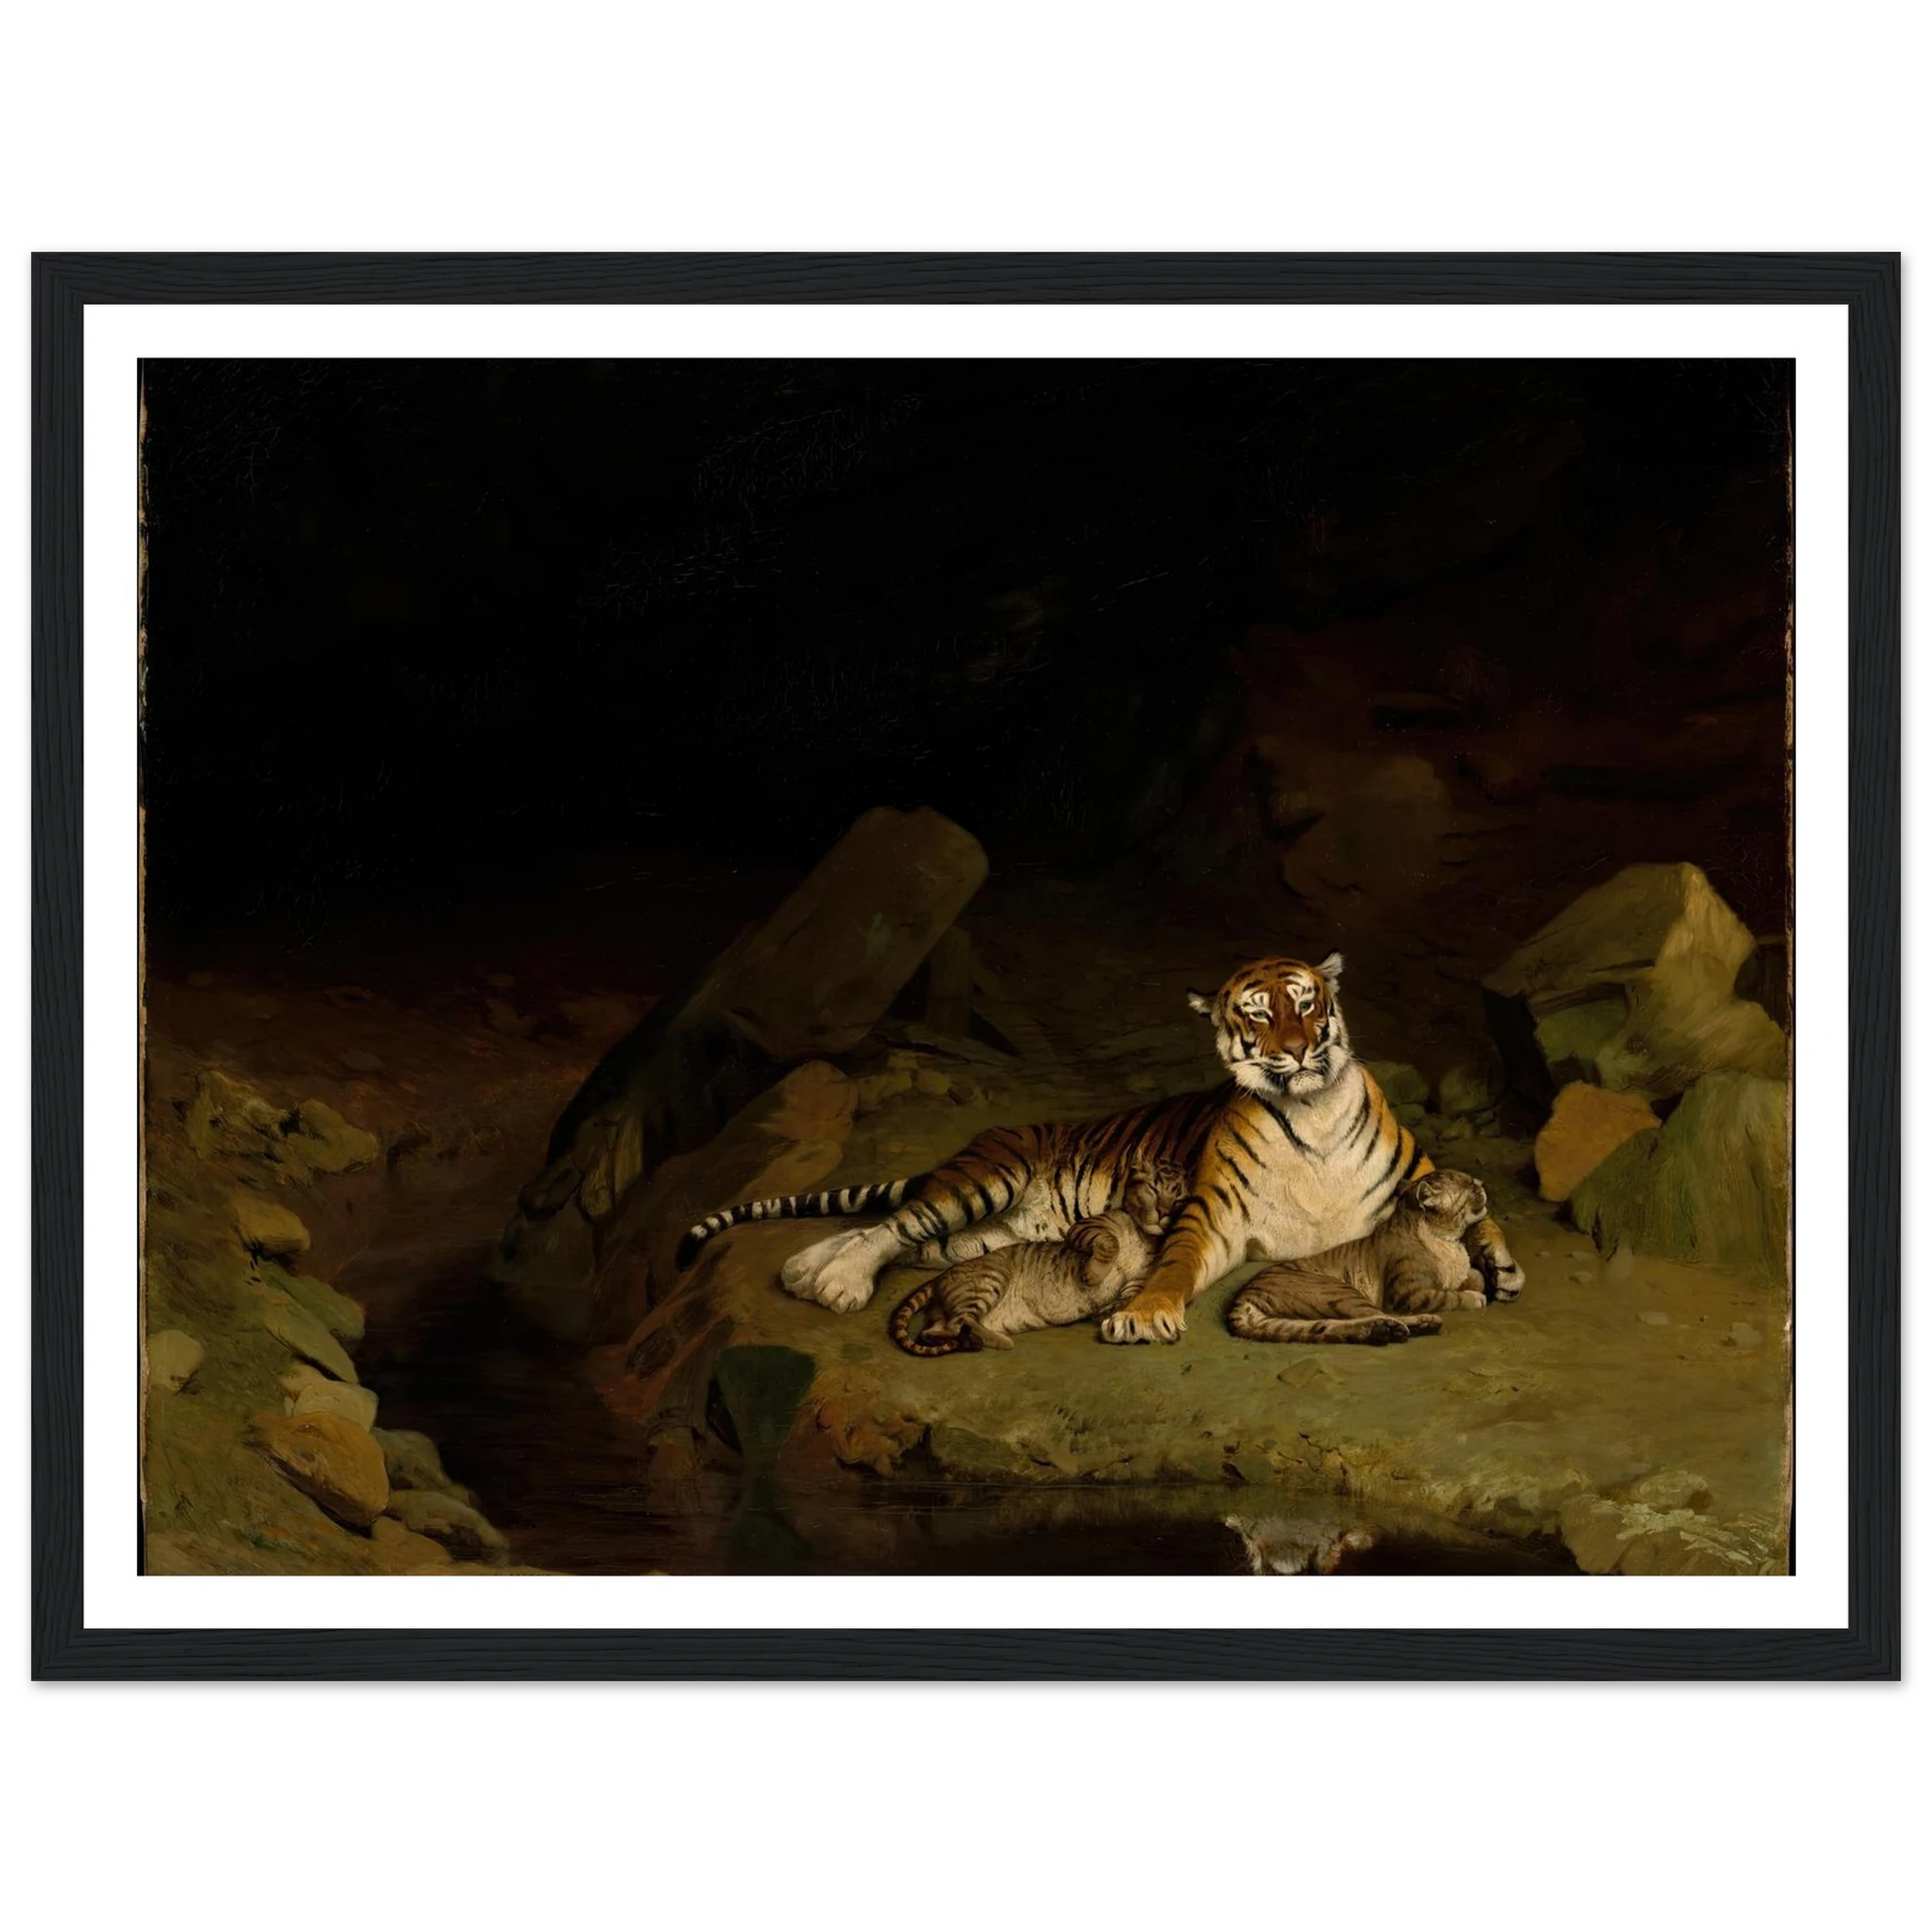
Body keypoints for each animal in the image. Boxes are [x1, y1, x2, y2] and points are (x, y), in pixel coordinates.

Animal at [1226, 1168, 1494, 1345]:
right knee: (1380, 1314)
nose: (1482, 1182)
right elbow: (1446, 1295)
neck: (1449, 1240)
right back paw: (1418, 1324)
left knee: (1327, 1327)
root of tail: (1243, 1296)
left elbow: (1474, 1275)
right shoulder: (1407, 1294)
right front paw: (1475, 1297)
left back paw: (1385, 1331)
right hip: (1339, 1291)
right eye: (1470, 1186)